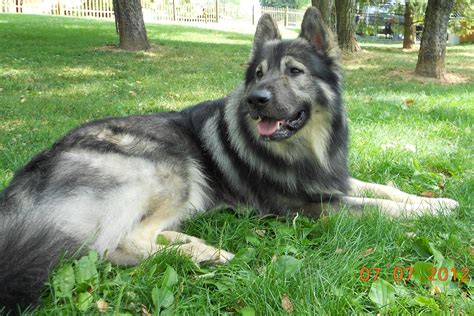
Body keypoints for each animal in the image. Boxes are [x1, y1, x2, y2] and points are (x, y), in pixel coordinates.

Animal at [0, 8, 460, 314]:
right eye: (258, 74)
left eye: (294, 71)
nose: (256, 101)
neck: (305, 146)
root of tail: (21, 183)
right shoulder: (310, 207)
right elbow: (380, 207)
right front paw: (433, 211)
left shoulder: (335, 180)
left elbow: (385, 189)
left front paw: (437, 201)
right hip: (173, 167)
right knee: (117, 244)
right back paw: (208, 253)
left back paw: (189, 243)